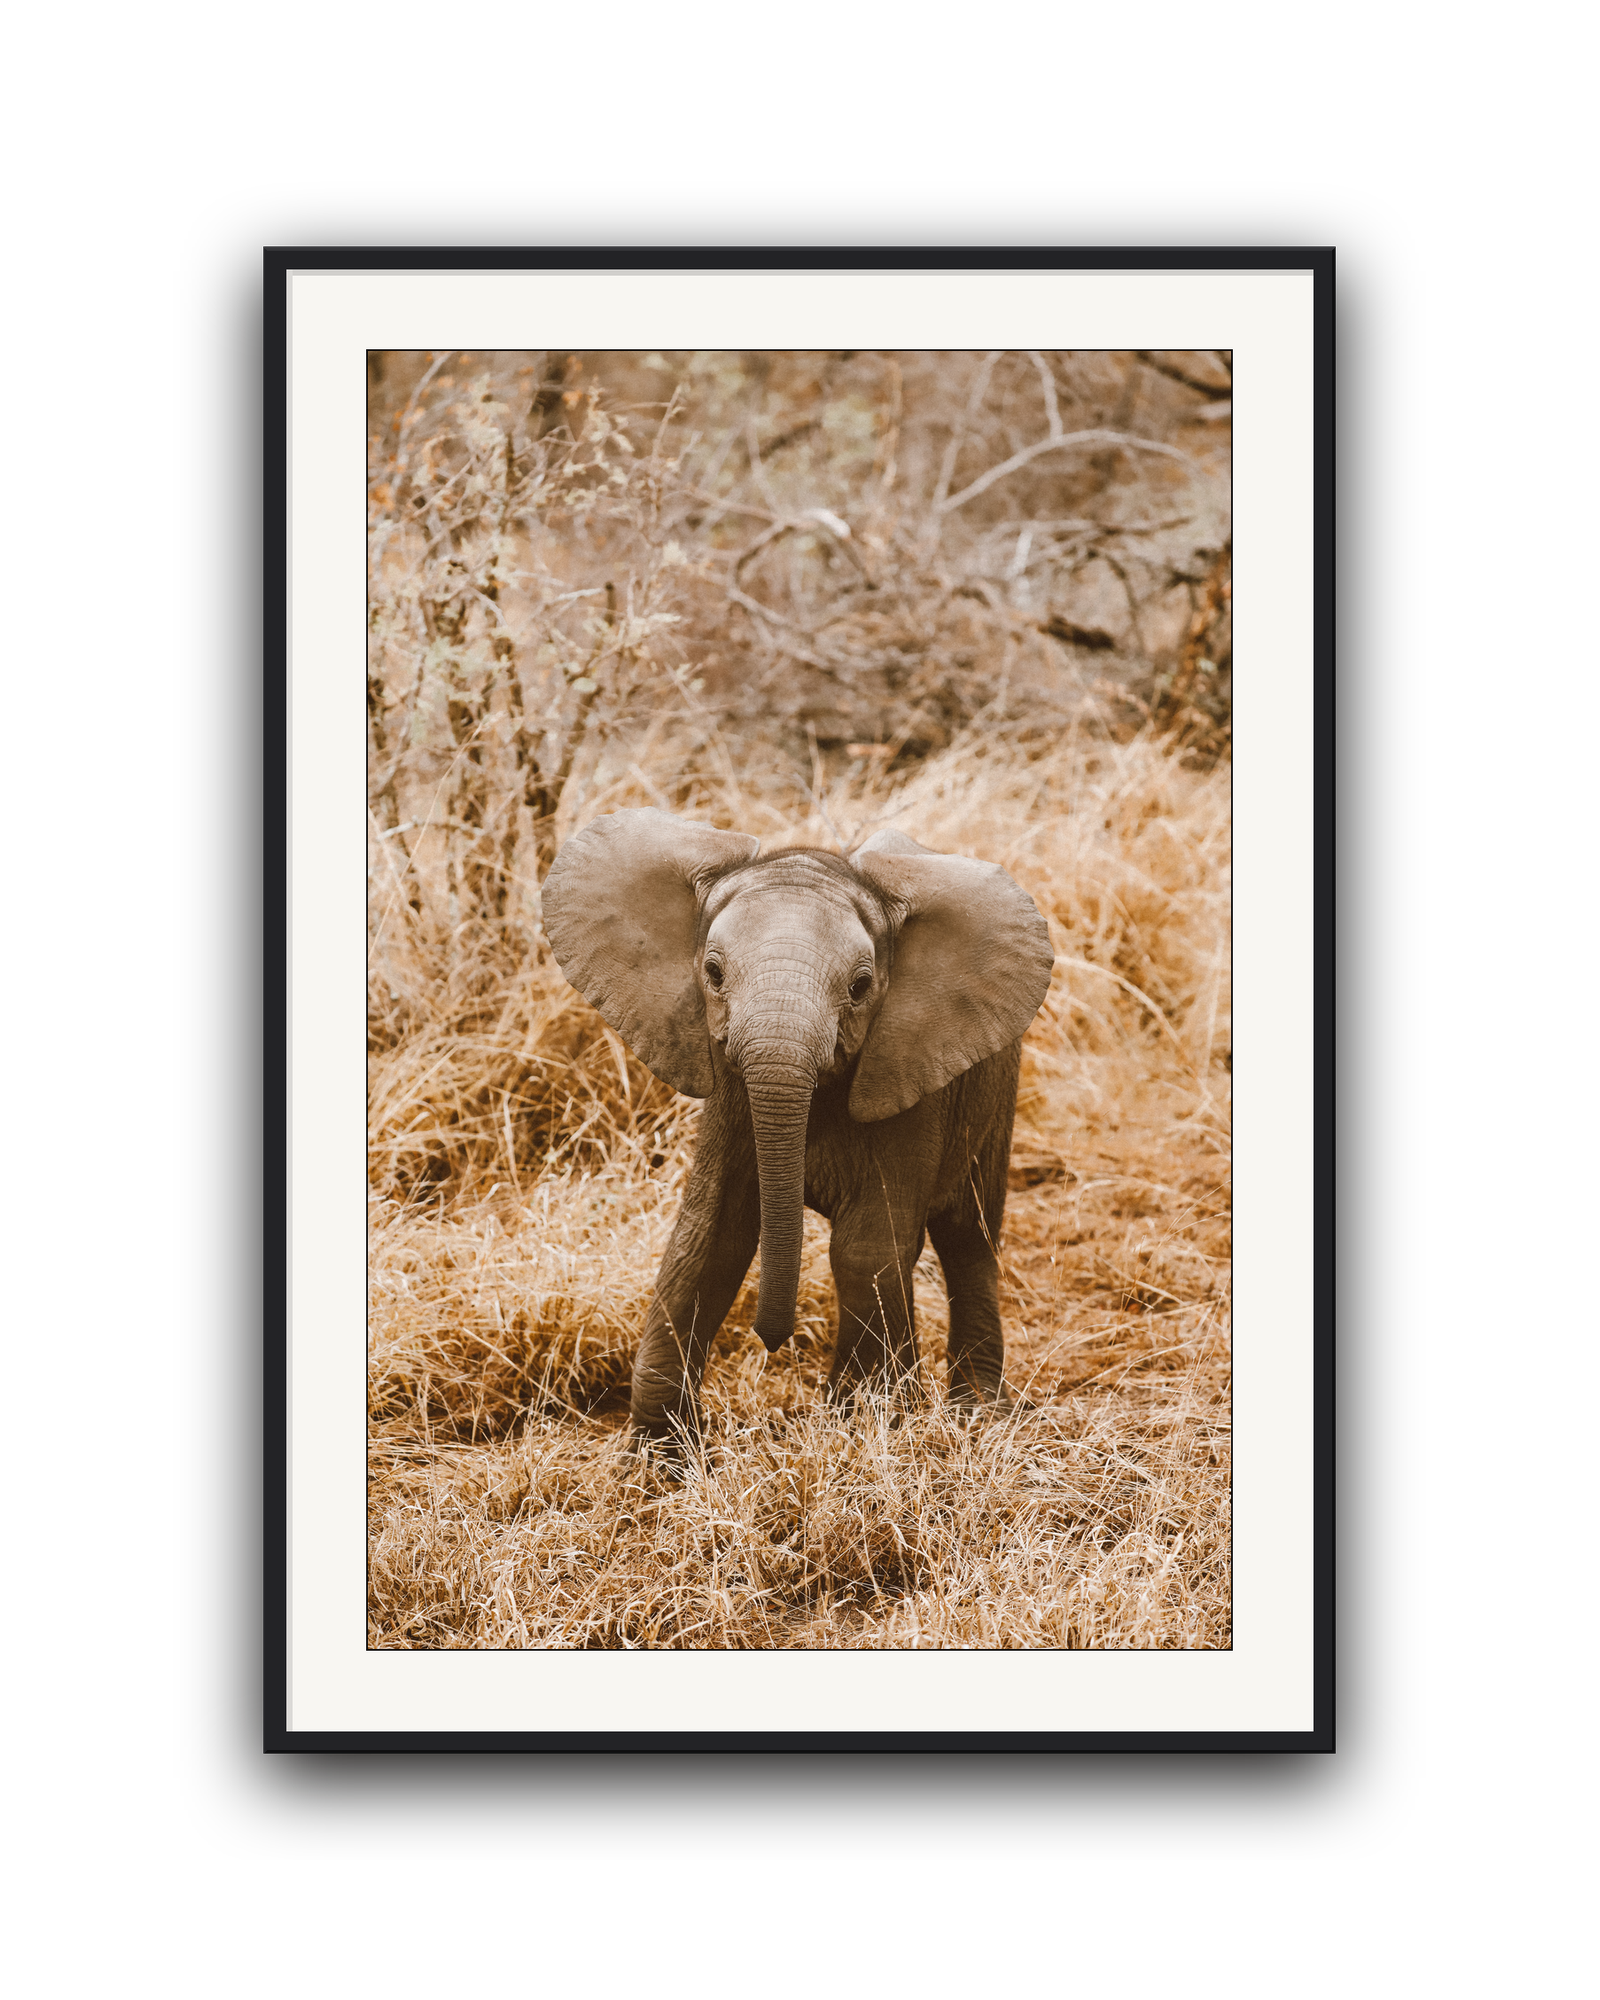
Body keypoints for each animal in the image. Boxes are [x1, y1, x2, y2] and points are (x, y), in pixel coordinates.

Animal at [539, 808, 1054, 1445]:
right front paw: (660, 1458)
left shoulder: (908, 1072)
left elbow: (866, 1246)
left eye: (860, 987)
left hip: (995, 1089)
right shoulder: (732, 1091)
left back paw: (979, 1413)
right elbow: (709, 1236)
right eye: (712, 973)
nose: (772, 1342)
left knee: (970, 1238)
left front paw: (864, 1423)